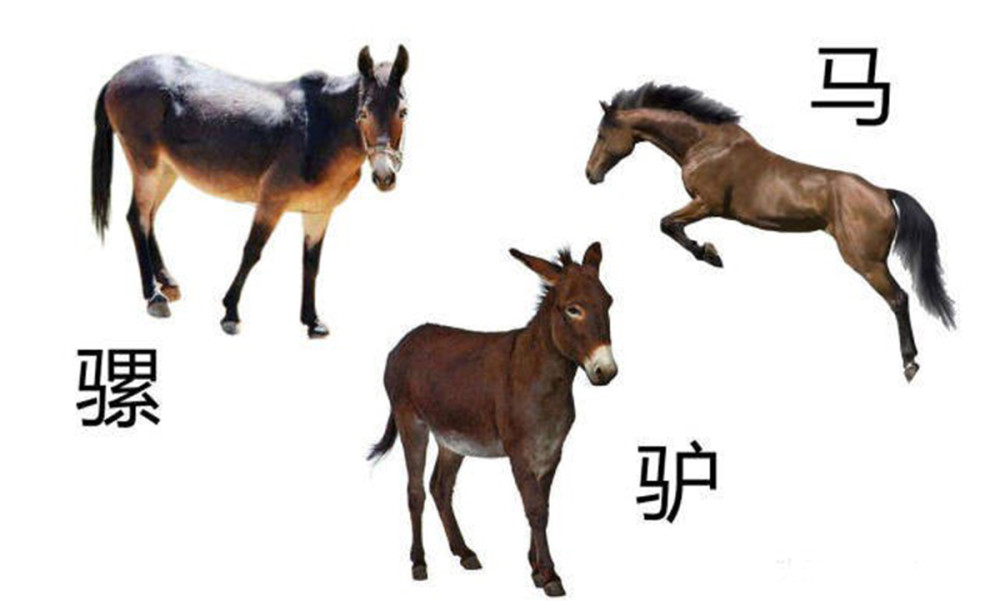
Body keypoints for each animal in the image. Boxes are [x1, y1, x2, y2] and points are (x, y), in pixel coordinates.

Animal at [91, 45, 409, 338]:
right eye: (363, 113)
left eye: (403, 112)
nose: (384, 176)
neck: (318, 130)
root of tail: (117, 77)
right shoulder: (271, 203)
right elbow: (252, 252)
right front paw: (230, 312)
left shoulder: (319, 211)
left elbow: (311, 263)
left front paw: (312, 320)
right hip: (146, 166)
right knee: (137, 218)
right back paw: (153, 296)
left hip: (167, 171)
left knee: (149, 218)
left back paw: (167, 282)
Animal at [368, 243, 617, 597]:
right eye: (573, 309)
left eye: (609, 302)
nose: (606, 371)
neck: (542, 375)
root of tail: (407, 339)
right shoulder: (520, 452)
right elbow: (535, 510)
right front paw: (549, 575)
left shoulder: (551, 451)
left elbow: (544, 507)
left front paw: (535, 568)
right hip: (411, 423)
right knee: (415, 491)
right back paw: (419, 563)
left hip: (452, 438)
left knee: (440, 487)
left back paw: (464, 553)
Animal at [585, 82, 955, 381]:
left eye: (601, 135)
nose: (590, 174)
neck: (704, 145)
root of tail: (883, 193)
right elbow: (669, 225)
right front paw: (710, 253)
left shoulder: (707, 204)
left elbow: (667, 224)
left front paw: (711, 254)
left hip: (867, 262)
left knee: (899, 298)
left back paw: (910, 364)